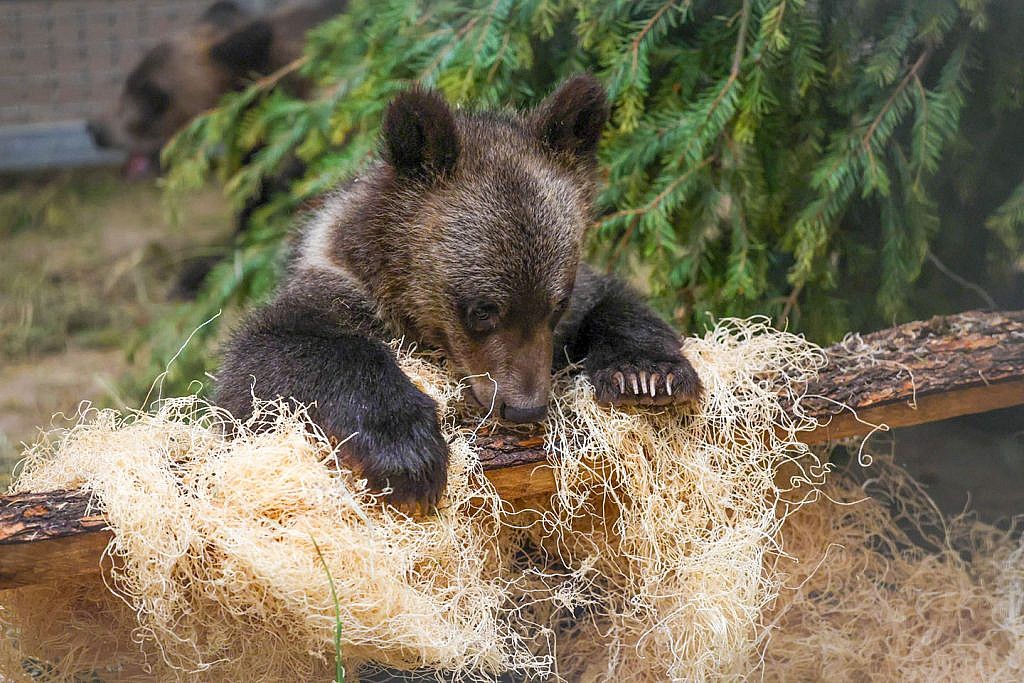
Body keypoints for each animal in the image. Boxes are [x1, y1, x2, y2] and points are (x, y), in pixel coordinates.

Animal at [215, 75, 702, 509]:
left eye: (556, 305)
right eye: (483, 309)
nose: (523, 408)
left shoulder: (578, 295)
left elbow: (615, 303)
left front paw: (646, 375)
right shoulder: (336, 290)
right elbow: (269, 360)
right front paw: (407, 453)